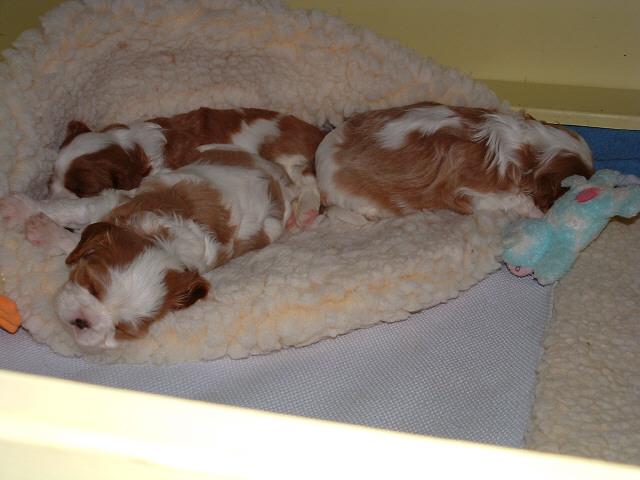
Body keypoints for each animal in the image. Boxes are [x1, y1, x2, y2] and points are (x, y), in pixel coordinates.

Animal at [7, 145, 294, 348]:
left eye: (120, 329)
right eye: (90, 286)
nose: (83, 321)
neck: (165, 243)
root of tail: (276, 176)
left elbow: (72, 241)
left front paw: (42, 230)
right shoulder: (116, 201)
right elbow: (74, 209)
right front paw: (20, 209)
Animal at [50, 107, 326, 228]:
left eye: (82, 191)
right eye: (51, 180)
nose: (54, 196)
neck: (134, 148)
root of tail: (319, 134)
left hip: (284, 156)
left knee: (308, 181)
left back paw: (305, 212)